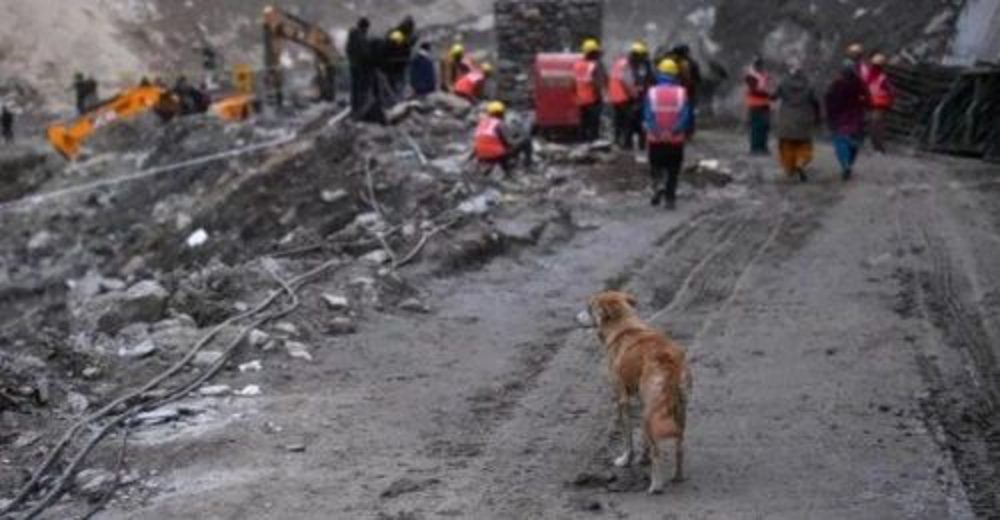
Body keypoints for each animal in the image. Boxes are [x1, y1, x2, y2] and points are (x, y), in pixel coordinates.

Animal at [588, 290, 692, 494]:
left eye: (589, 308)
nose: (576, 316)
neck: (625, 327)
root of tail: (670, 361)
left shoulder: (622, 399)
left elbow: (628, 437)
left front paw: (625, 460)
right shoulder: (642, 402)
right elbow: (644, 438)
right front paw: (642, 458)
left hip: (649, 413)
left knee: (657, 453)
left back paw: (656, 486)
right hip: (678, 410)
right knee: (680, 446)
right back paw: (678, 476)